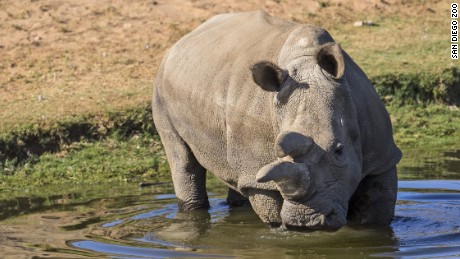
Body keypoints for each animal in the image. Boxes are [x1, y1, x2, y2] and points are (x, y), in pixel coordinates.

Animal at [152, 10, 402, 232]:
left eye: (339, 151)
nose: (306, 221)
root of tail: (186, 37)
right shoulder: (260, 176)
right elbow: (271, 213)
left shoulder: (382, 157)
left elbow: (375, 216)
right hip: (161, 87)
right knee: (182, 157)